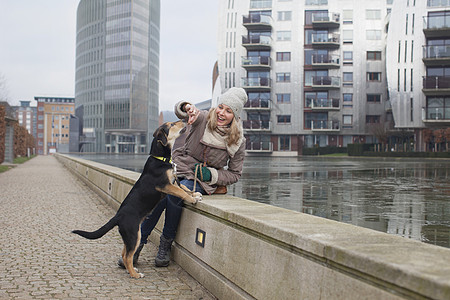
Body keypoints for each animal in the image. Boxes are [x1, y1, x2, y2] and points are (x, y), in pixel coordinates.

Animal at [73, 120, 203, 278]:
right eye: (171, 125)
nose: (184, 120)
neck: (161, 158)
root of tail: (118, 216)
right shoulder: (165, 185)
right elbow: (180, 191)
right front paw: (192, 199)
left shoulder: (172, 182)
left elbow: (183, 187)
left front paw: (195, 194)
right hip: (134, 234)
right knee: (128, 256)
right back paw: (135, 274)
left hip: (129, 236)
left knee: (124, 254)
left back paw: (132, 270)